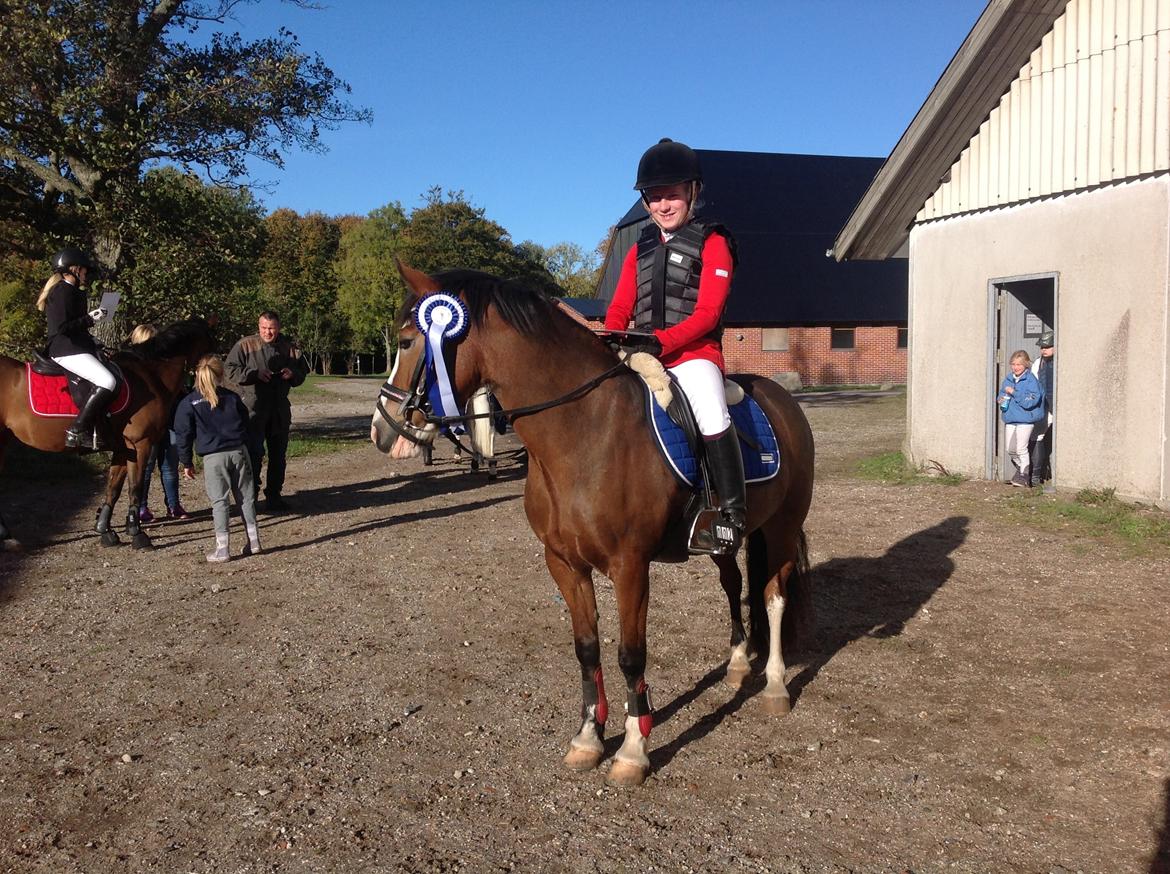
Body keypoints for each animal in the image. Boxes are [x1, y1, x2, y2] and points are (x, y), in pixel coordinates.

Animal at [0, 320, 215, 549]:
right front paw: (137, 534)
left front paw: (105, 531)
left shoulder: (123, 448)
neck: (151, 376)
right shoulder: (140, 445)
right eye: (210, 344)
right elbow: (135, 487)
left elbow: (113, 488)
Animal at [372, 263, 814, 790]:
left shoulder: (630, 568)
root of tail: (782, 397)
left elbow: (630, 654)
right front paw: (587, 739)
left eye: (404, 342)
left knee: (773, 595)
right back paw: (737, 663)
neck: (584, 431)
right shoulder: (564, 564)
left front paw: (633, 749)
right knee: (734, 586)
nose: (382, 430)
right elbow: (586, 649)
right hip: (725, 542)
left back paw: (774, 686)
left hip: (783, 527)